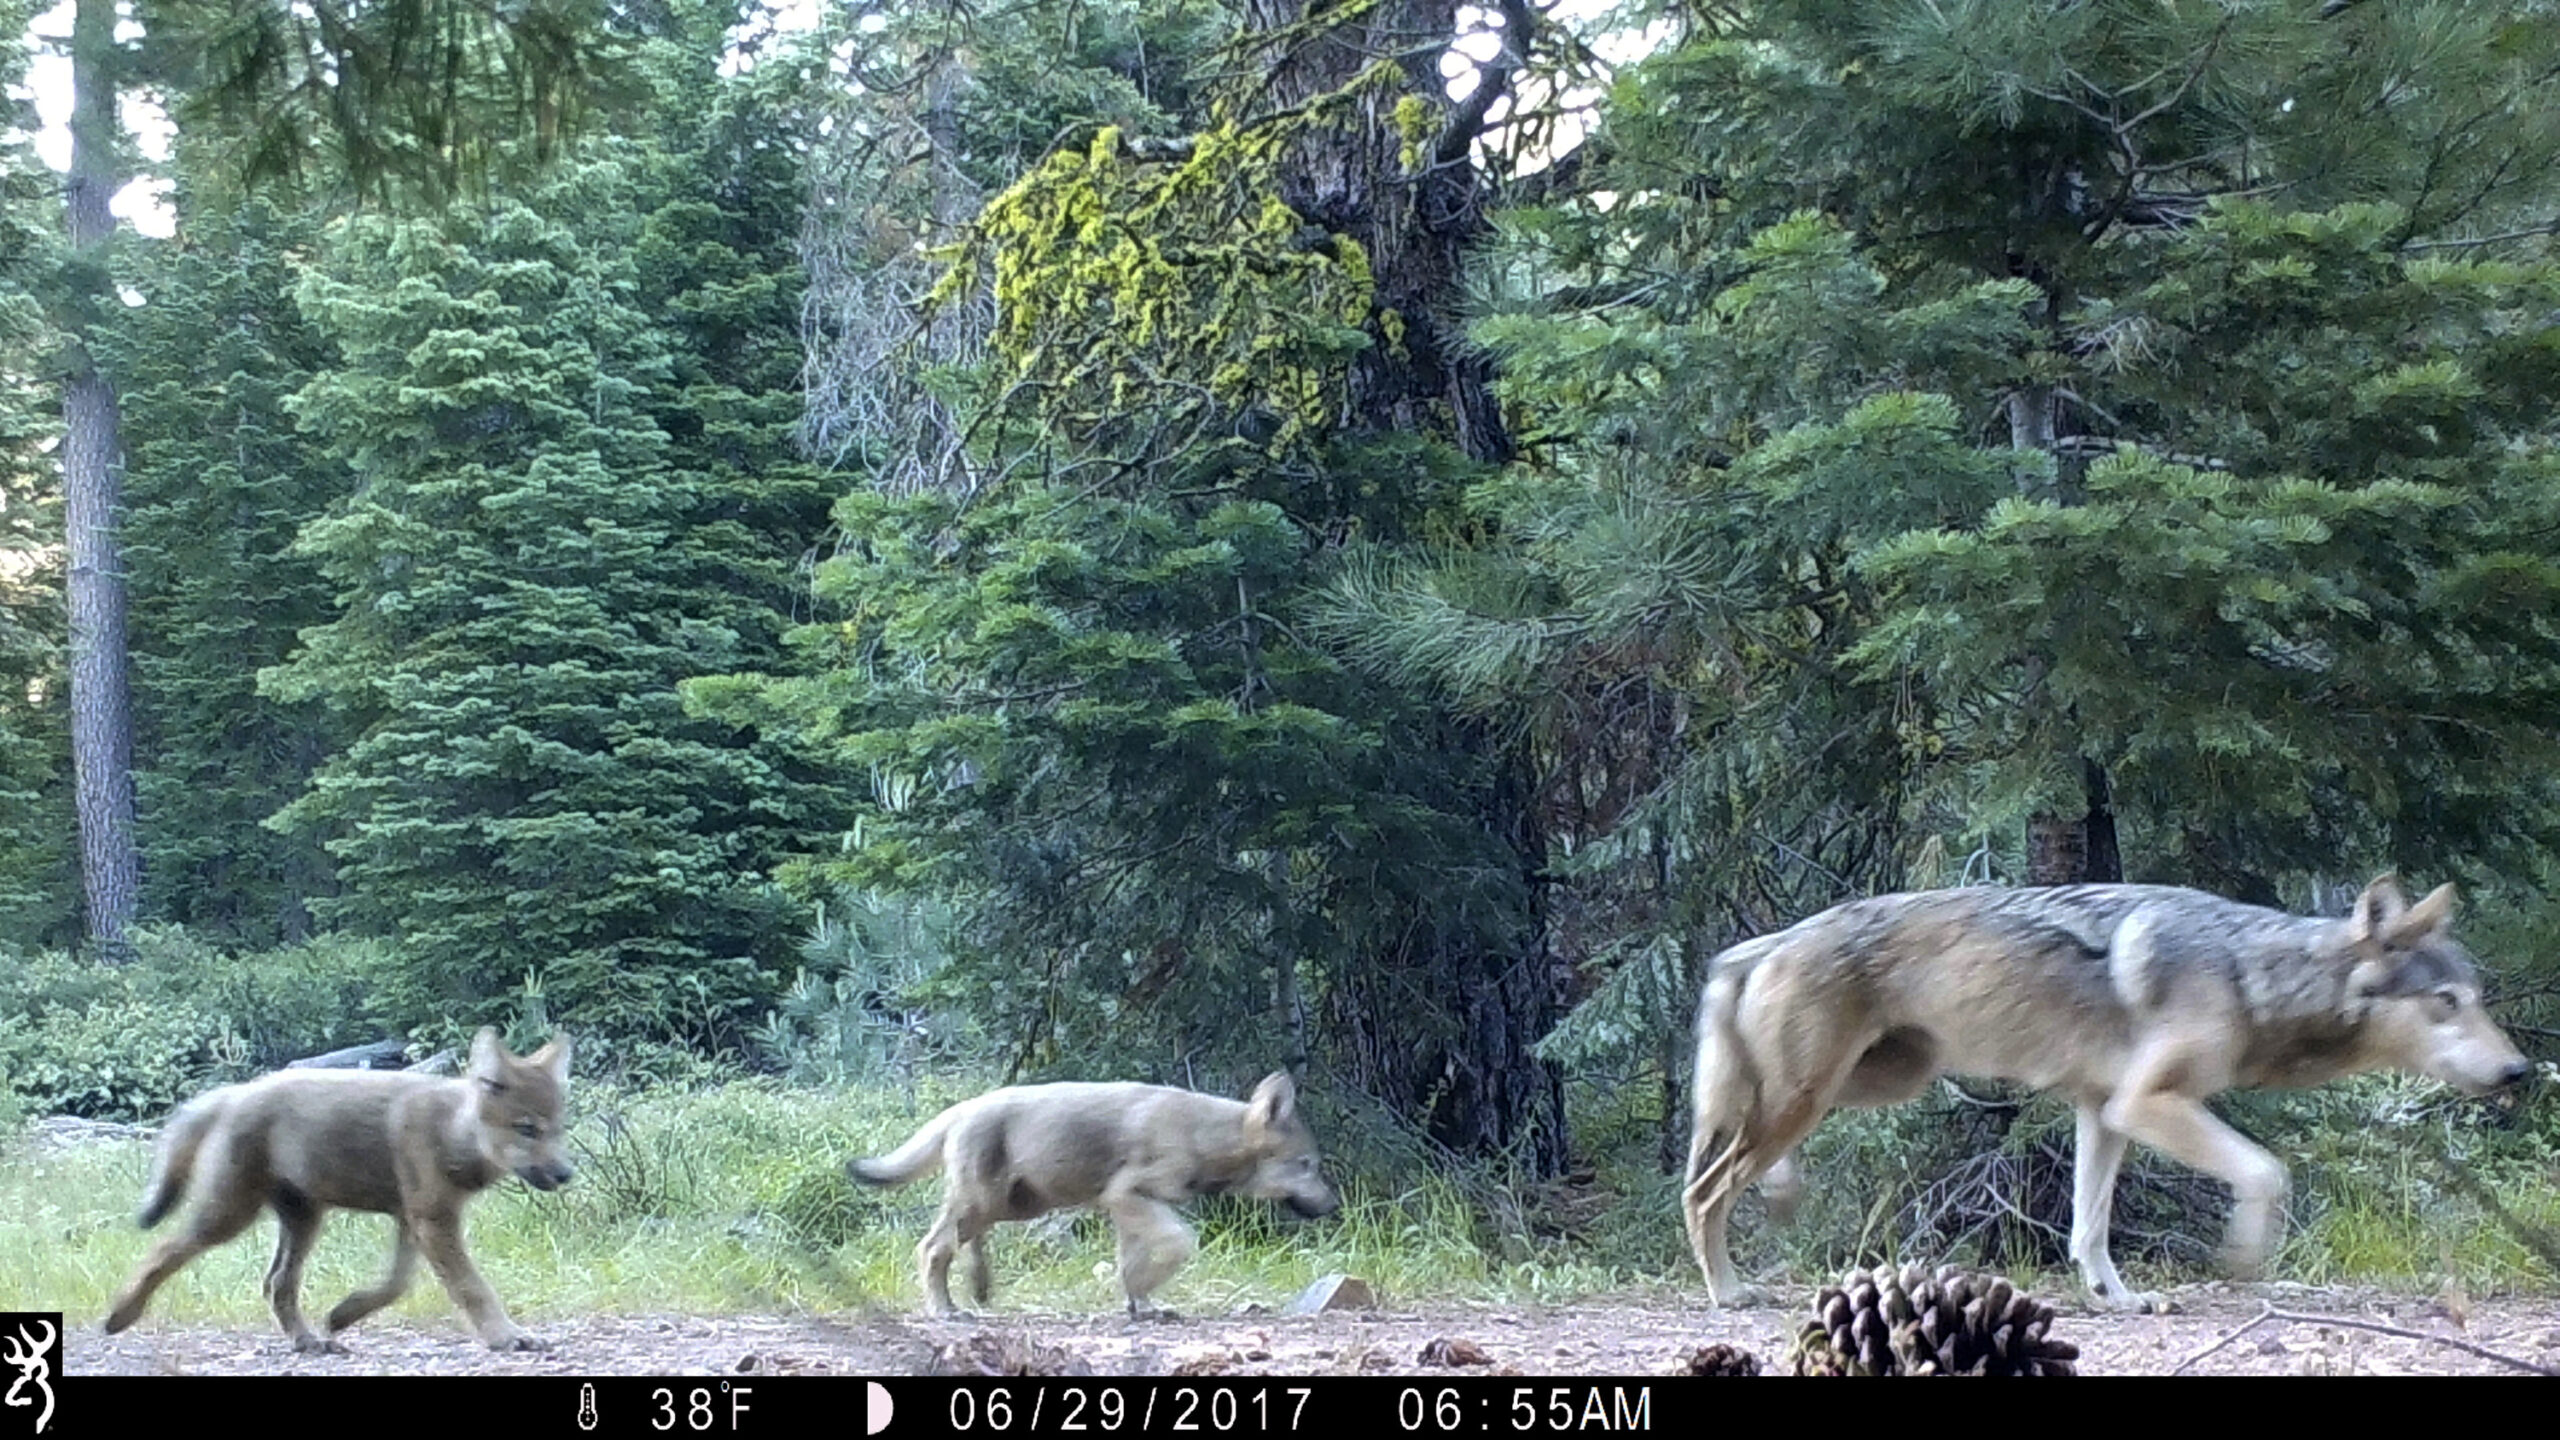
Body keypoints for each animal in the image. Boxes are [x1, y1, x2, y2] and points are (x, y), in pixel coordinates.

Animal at [103, 1024, 576, 1352]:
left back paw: (310, 1342)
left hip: (304, 1220)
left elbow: (396, 1284)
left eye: (557, 1129)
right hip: (228, 1217)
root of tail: (234, 1092)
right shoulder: (432, 1220)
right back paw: (119, 1315)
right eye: (527, 1129)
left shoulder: (412, 1220)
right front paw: (508, 1336)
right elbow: (473, 1288)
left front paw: (344, 1315)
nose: (567, 1173)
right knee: (163, 1250)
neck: (451, 1131)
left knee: (276, 1284)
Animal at [855, 1065, 1341, 1311]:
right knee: (932, 1248)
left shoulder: (1126, 1208)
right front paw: (1142, 1297)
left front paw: (1141, 1305)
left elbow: (1130, 1265)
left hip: (1010, 1207)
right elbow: (1179, 1242)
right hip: (985, 1204)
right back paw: (945, 1310)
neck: (1202, 1136)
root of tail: (960, 1107)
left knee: (965, 1244)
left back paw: (980, 1291)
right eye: (1307, 1166)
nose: (1335, 1206)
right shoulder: (1127, 1196)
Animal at [1679, 871, 2539, 1306]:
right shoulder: (2146, 1104)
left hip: (1875, 1084)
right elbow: (2268, 1171)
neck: (2250, 976)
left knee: (1739, 1164)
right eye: (2445, 1003)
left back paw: (1780, 1197)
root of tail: (1762, 943)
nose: (2520, 1072)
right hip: (1810, 1098)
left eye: (2480, 998)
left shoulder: (2103, 1111)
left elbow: (2087, 1229)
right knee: (1705, 1190)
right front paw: (2242, 1258)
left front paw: (2115, 1299)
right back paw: (1728, 1291)